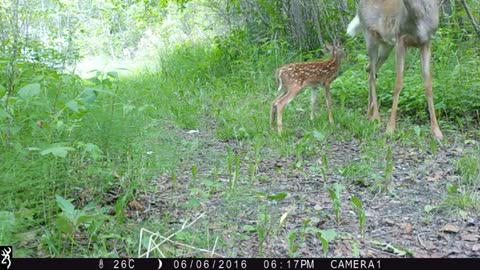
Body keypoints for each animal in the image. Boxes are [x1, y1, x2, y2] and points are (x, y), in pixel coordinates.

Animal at [348, 0, 442, 139]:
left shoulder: (426, 42)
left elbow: (428, 85)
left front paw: (436, 131)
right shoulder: (400, 39)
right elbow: (398, 84)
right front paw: (390, 128)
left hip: (386, 45)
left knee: (369, 69)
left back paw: (370, 113)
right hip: (370, 36)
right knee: (372, 74)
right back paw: (376, 117)